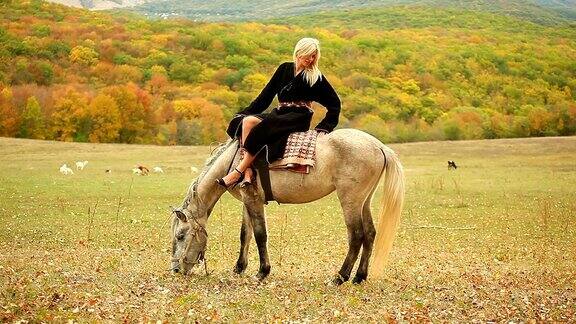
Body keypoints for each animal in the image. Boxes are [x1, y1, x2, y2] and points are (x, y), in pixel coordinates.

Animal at [171, 128, 404, 284]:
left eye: (180, 236)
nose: (175, 269)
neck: (236, 160)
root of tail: (379, 146)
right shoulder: (248, 201)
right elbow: (245, 235)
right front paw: (239, 268)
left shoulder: (254, 201)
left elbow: (260, 235)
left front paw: (262, 271)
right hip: (364, 201)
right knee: (370, 234)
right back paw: (359, 277)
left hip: (350, 201)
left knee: (357, 236)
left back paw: (340, 277)